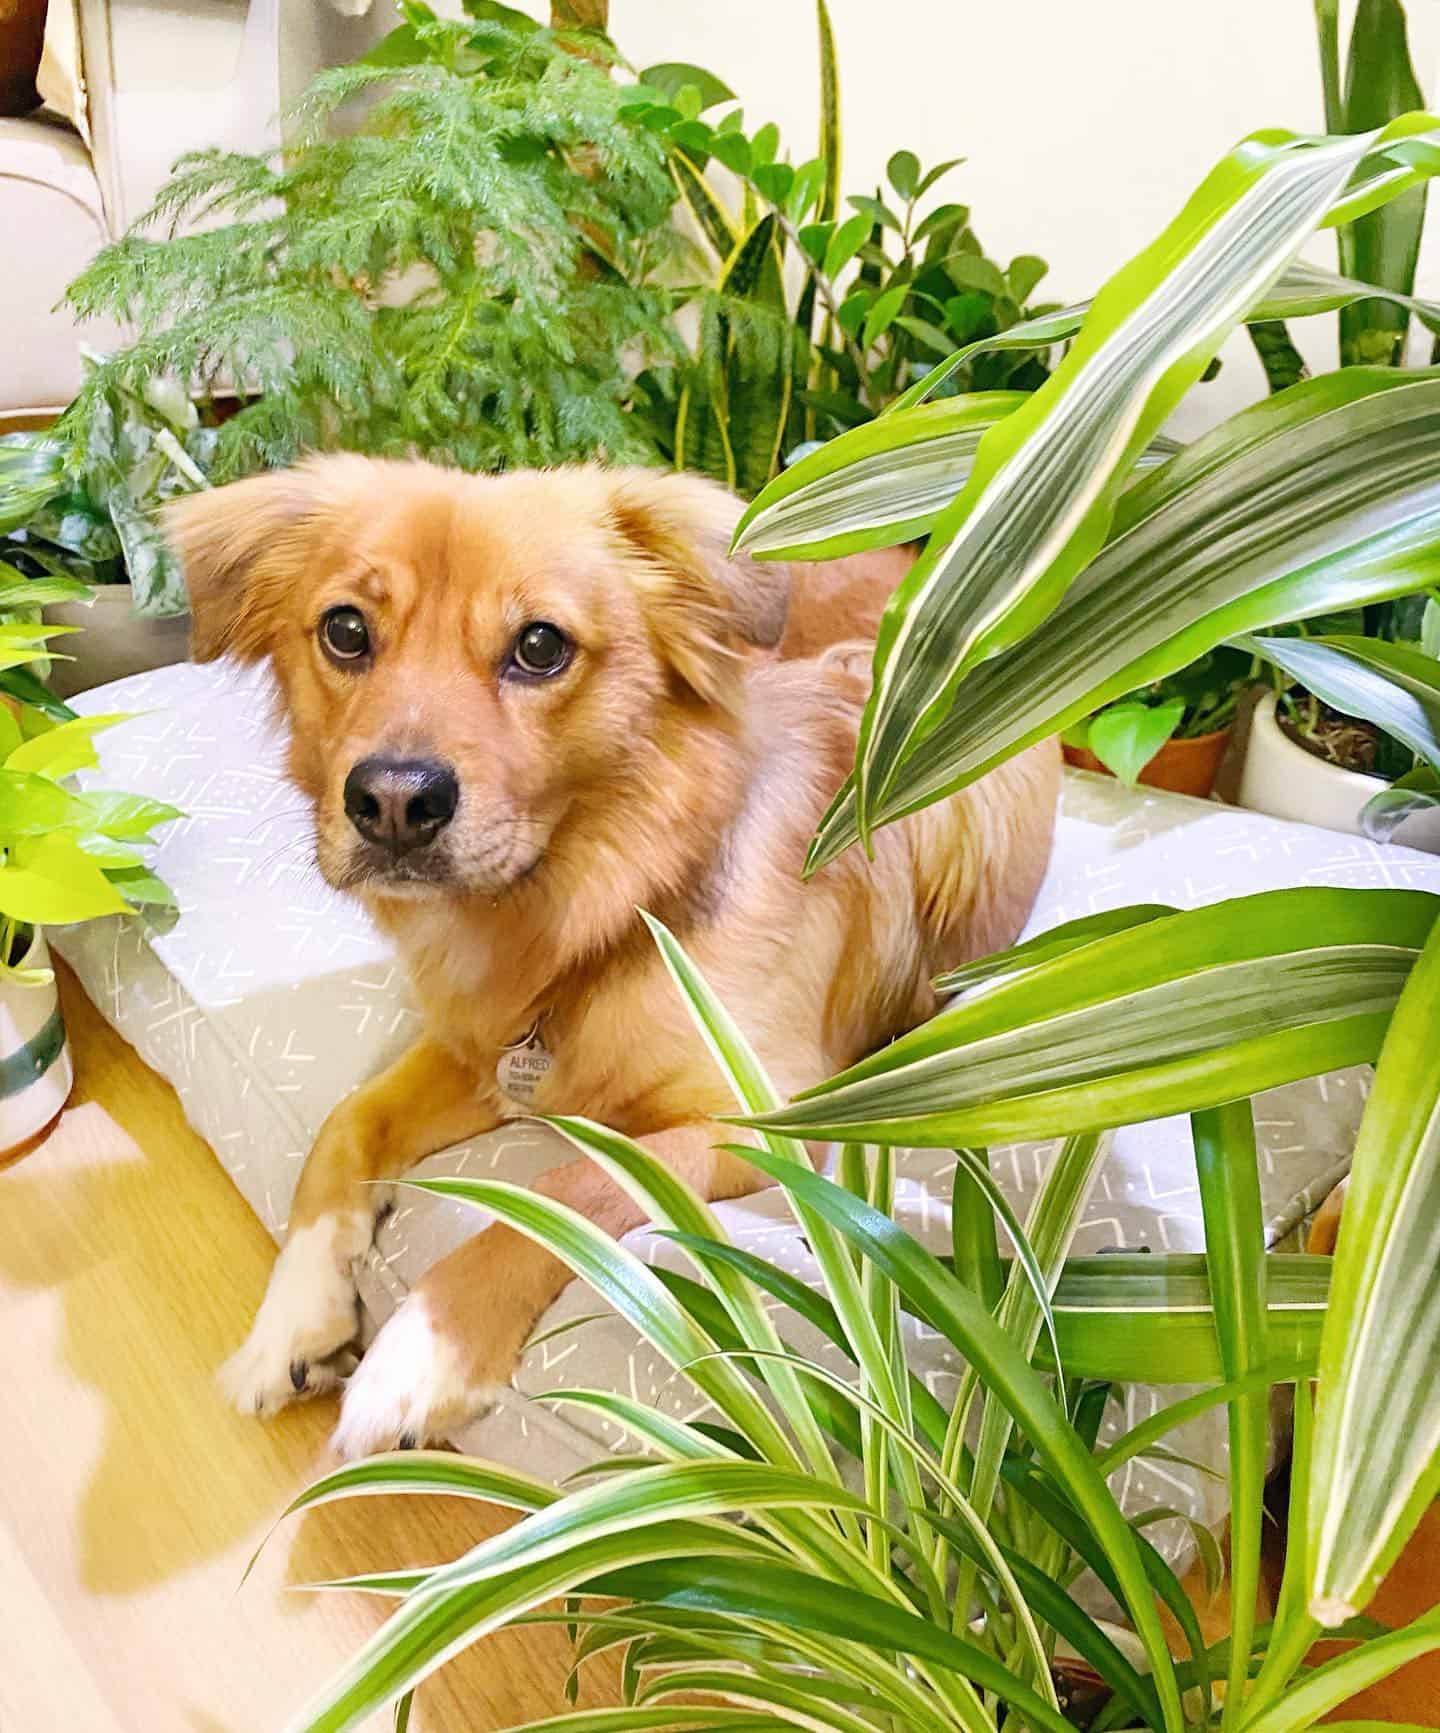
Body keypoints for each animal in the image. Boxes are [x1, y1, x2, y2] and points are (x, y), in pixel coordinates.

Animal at [166, 454, 1060, 1455]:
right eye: (346, 631)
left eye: (541, 645)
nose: (394, 802)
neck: (607, 913)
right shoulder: (481, 1047)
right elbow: (344, 1124)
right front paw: (292, 1318)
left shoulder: (768, 1121)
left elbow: (570, 1181)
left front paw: (422, 1351)